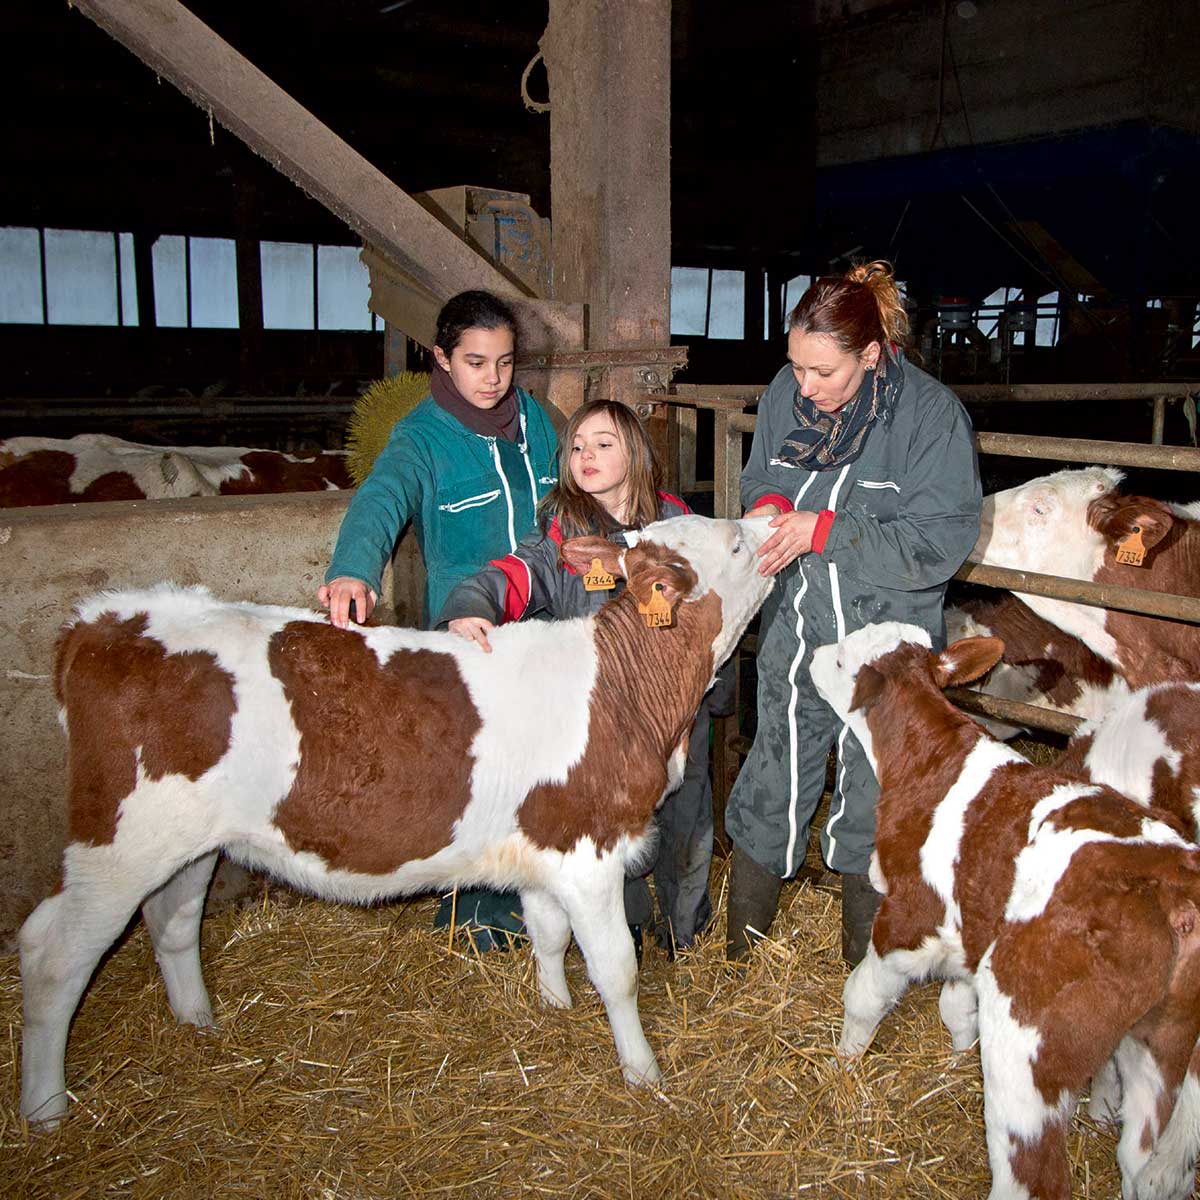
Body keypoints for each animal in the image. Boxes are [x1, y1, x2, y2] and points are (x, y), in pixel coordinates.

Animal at [18, 513, 772, 1123]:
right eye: (735, 542)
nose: (771, 518)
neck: (621, 687)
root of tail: (102, 618)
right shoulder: (589, 849)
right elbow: (616, 967)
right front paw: (644, 1072)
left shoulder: (542, 848)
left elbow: (548, 936)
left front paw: (552, 1010)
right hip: (117, 841)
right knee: (51, 952)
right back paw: (46, 1108)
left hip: (190, 841)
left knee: (172, 921)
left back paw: (200, 1025)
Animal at [806, 624, 1200, 1200]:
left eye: (840, 659)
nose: (812, 655)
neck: (931, 762)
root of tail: (1171, 880)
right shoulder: (968, 932)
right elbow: (955, 1008)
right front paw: (952, 1061)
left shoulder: (911, 921)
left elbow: (862, 995)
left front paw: (845, 1061)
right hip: (1159, 1045)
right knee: (1145, 1163)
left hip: (1025, 1037)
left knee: (1031, 1174)